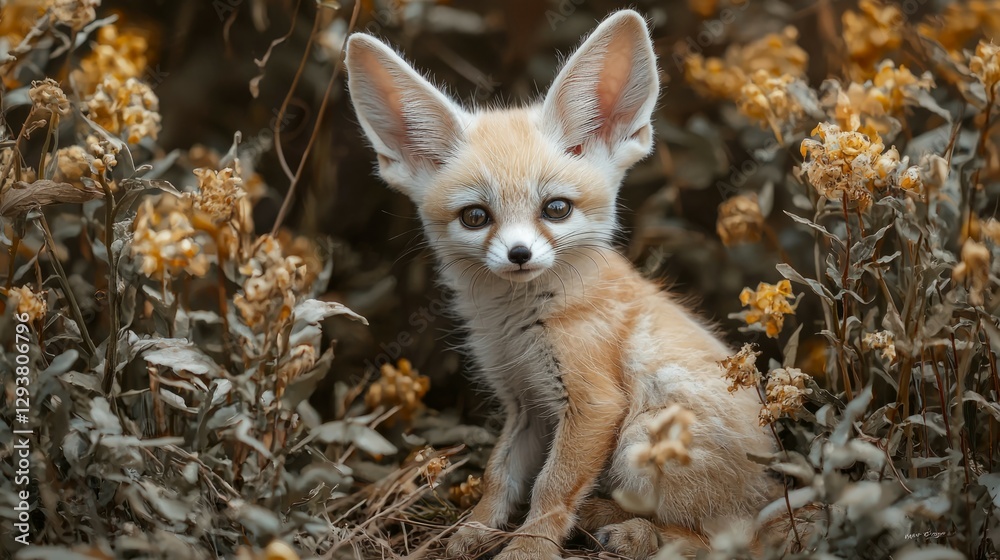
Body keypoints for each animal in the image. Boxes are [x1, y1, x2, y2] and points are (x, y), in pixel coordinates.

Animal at [345, 9, 777, 560]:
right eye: (475, 216)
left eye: (556, 209)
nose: (519, 254)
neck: (517, 325)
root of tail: (779, 490)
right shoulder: (524, 404)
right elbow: (499, 475)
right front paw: (474, 531)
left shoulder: (594, 406)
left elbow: (550, 488)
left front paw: (527, 548)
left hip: (641, 437)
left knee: (724, 538)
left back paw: (632, 532)